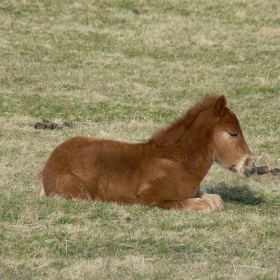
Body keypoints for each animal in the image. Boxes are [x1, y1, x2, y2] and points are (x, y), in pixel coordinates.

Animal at [39, 93, 256, 211]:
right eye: (233, 133)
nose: (252, 165)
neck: (180, 163)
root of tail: (48, 165)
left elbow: (214, 198)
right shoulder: (152, 197)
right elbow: (208, 204)